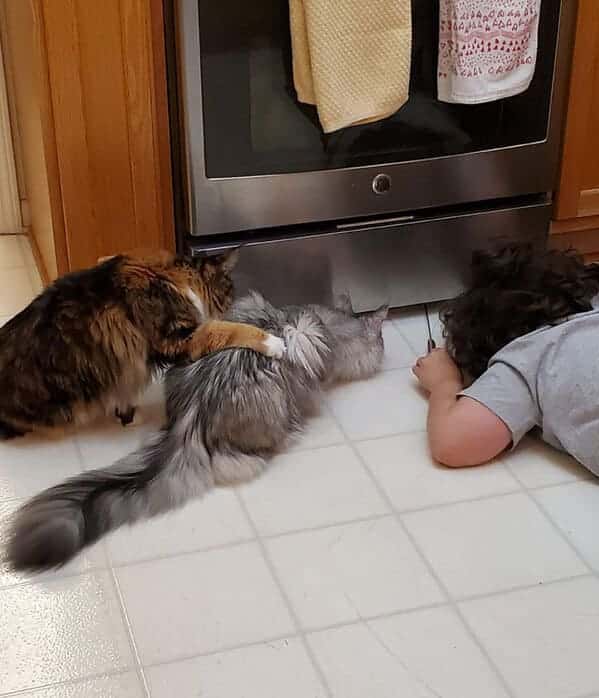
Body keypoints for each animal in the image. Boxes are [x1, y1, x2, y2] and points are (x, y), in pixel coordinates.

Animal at [0, 247, 284, 438]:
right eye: (229, 290)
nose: (234, 301)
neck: (172, 278)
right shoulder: (178, 338)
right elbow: (227, 330)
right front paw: (274, 342)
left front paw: (126, 414)